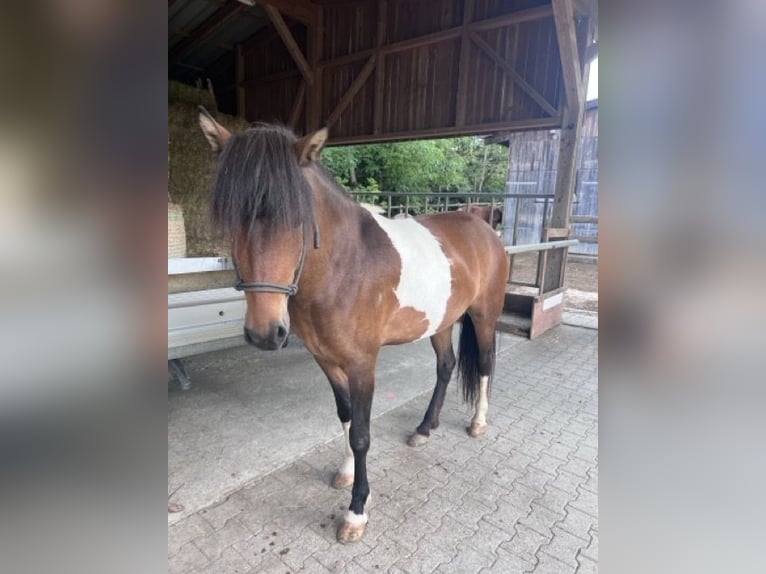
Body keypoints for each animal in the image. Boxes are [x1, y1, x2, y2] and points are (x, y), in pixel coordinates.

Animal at [198, 109, 510, 544]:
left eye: (297, 219)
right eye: (231, 218)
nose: (264, 332)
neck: (345, 266)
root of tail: (485, 228)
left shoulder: (363, 364)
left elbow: (361, 434)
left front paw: (356, 510)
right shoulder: (327, 360)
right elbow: (345, 417)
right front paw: (345, 474)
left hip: (483, 316)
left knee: (483, 366)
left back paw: (478, 422)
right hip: (442, 322)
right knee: (446, 366)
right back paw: (425, 428)